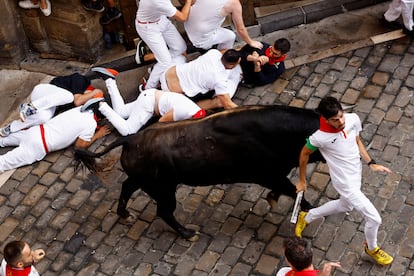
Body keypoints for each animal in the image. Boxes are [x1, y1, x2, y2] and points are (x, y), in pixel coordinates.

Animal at [76, 104, 326, 238]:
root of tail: (130, 139)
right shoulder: (270, 175)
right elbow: (295, 192)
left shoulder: (274, 177)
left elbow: (289, 191)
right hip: (164, 190)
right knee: (163, 211)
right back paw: (188, 234)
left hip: (143, 180)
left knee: (126, 187)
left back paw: (125, 214)